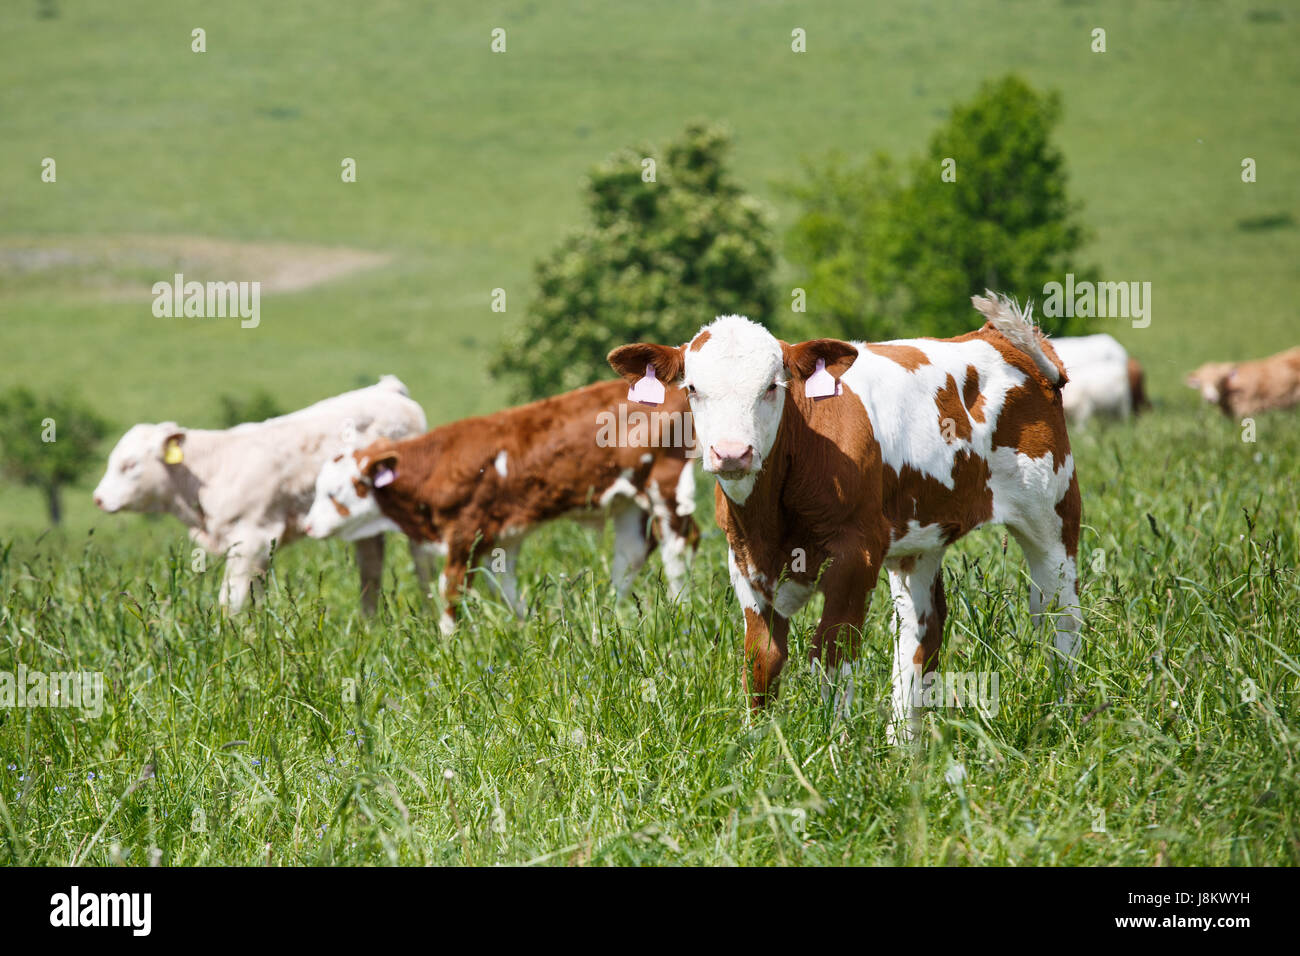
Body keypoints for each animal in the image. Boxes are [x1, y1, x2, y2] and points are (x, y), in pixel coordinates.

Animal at [92, 376, 428, 615]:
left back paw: (426, 617)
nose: (98, 498)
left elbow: (231, 601)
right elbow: (255, 598)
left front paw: (227, 644)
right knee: (371, 569)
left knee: (421, 560)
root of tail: (387, 389)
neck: (211, 471)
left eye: (129, 464)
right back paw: (368, 628)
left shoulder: (252, 538)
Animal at [302, 379, 700, 635]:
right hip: (628, 502)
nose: (307, 526)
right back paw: (610, 613)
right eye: (317, 489)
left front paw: (448, 646)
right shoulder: (501, 538)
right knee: (629, 556)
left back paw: (680, 610)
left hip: (667, 485)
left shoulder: (465, 535)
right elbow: (505, 590)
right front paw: (535, 629)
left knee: (679, 547)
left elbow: (451, 592)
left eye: (335, 492)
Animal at [608, 292, 1081, 743]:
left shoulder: (857, 551)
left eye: (772, 386)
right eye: (692, 388)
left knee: (1059, 613)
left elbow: (832, 651)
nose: (731, 453)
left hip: (1052, 513)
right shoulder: (742, 557)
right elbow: (762, 659)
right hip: (917, 543)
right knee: (919, 631)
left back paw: (1063, 717)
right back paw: (901, 744)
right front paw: (755, 745)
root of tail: (998, 338)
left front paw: (835, 745)